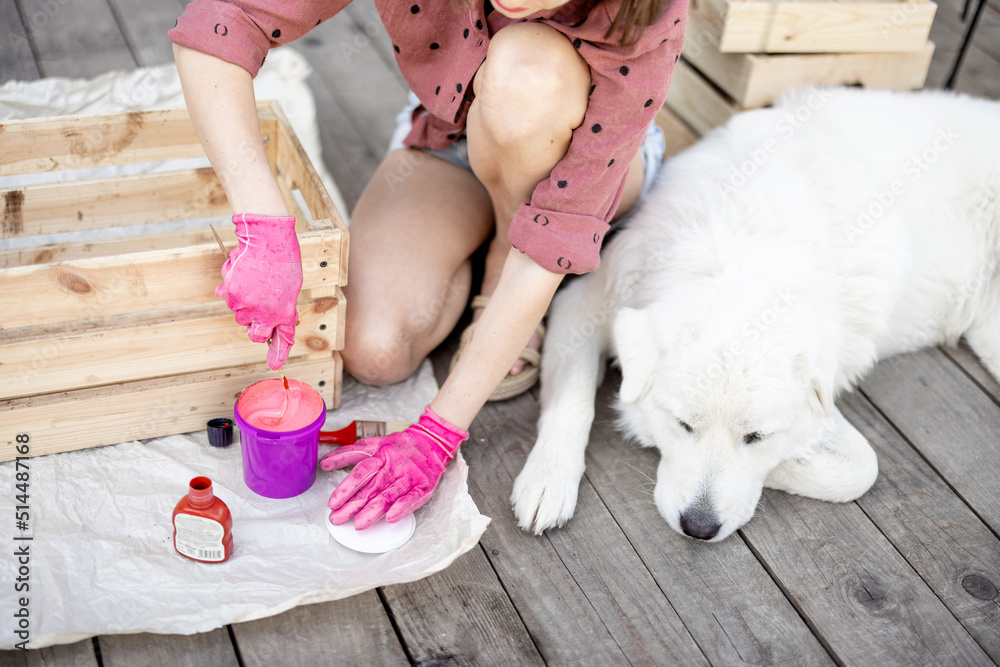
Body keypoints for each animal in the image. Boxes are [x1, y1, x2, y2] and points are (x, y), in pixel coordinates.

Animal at [512, 86, 996, 544]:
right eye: (684, 425)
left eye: (755, 438)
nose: (699, 527)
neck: (743, 240)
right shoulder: (585, 299)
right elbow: (571, 400)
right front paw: (547, 480)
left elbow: (860, 467)